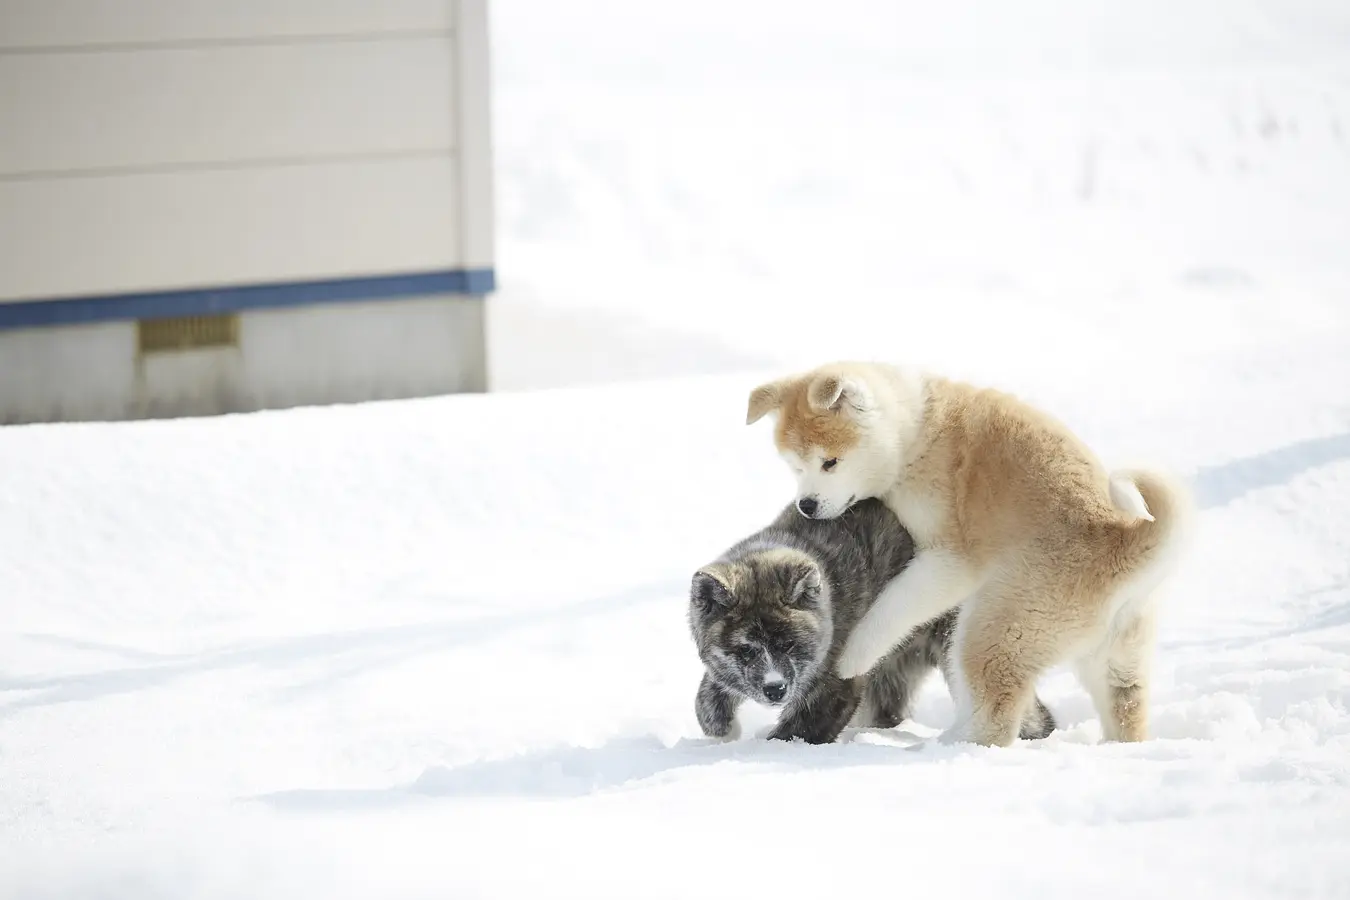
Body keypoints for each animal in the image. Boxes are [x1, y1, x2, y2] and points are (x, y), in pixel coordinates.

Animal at [691, 499, 1058, 744]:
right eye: (746, 650)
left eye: (789, 644)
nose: (775, 688)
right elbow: (707, 696)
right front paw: (722, 730)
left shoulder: (836, 686)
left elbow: (795, 732)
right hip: (892, 668)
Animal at [750, 358, 1193, 744]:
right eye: (795, 466)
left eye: (830, 462)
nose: (807, 505)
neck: (917, 434)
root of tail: (1120, 538)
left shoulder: (949, 560)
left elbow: (894, 606)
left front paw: (852, 656)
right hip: (1119, 656)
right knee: (1125, 703)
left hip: (997, 629)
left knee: (993, 718)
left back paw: (946, 747)